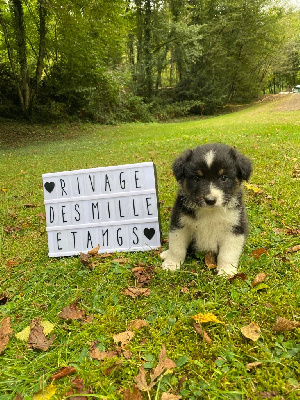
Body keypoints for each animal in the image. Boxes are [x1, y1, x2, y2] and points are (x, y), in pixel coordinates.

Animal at [161, 142, 252, 276]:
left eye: (224, 177)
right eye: (197, 178)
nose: (210, 200)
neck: (210, 212)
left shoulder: (235, 227)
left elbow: (228, 253)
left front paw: (226, 271)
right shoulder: (180, 223)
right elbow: (176, 247)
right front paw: (171, 264)